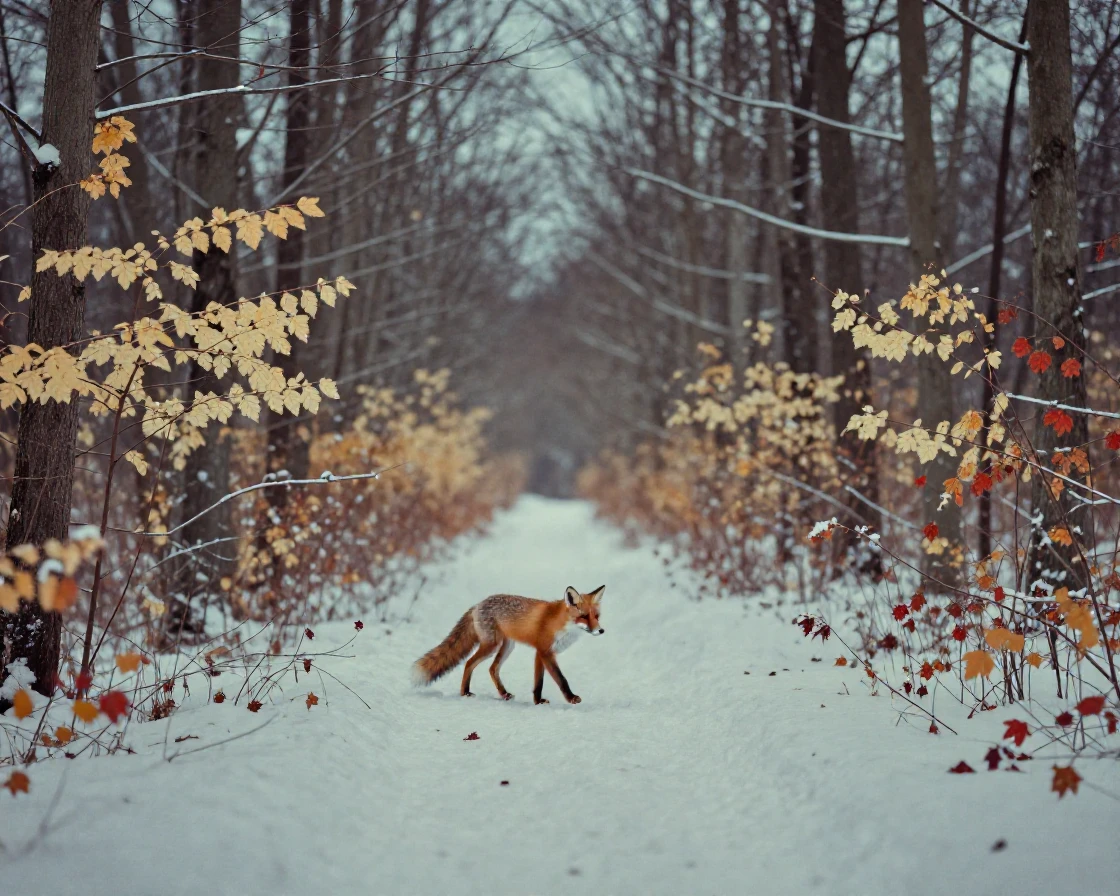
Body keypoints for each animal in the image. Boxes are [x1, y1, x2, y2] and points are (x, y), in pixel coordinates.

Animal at [411, 585, 605, 704]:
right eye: (583, 616)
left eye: (596, 616)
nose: (601, 631)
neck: (562, 624)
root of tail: (477, 605)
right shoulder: (545, 652)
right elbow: (561, 679)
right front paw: (571, 698)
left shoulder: (540, 653)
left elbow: (538, 682)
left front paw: (538, 702)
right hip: (492, 646)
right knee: (469, 663)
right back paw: (465, 692)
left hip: (507, 647)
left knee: (492, 668)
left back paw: (503, 693)